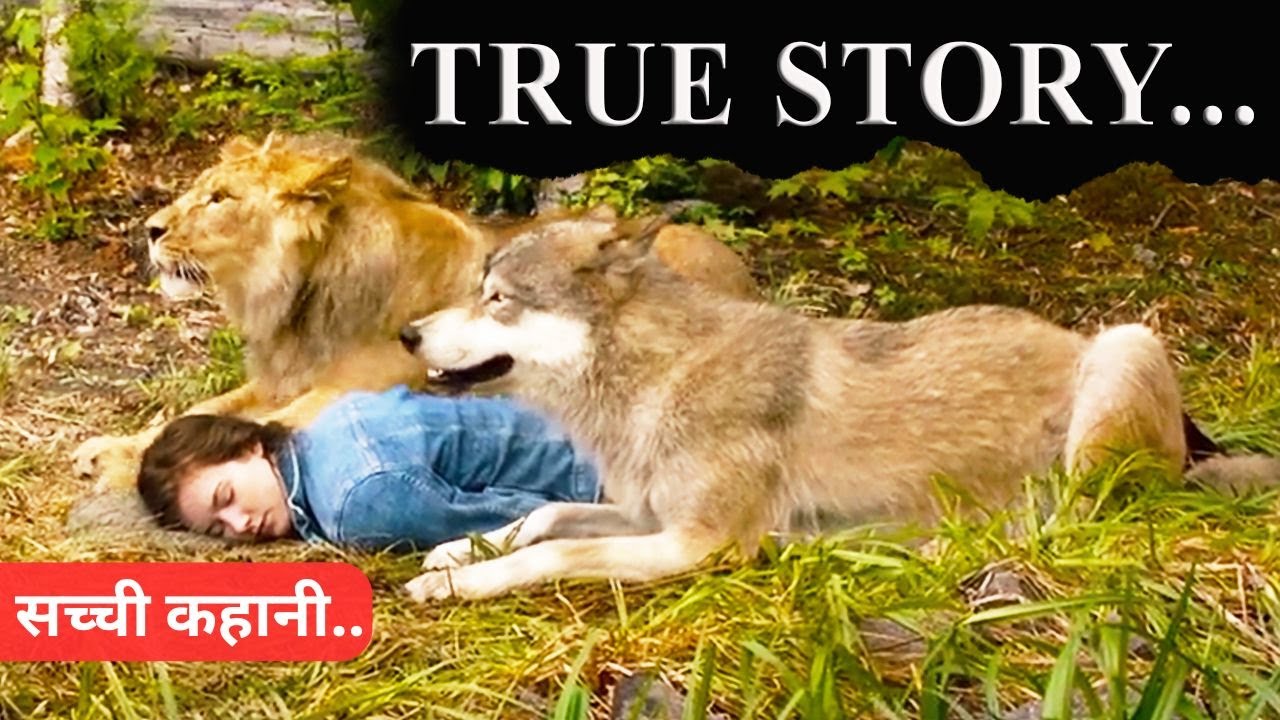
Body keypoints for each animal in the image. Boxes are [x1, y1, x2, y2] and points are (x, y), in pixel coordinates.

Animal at [73, 131, 761, 492]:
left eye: (220, 198)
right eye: (199, 189)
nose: (150, 229)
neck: (298, 297)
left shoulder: (350, 389)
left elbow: (266, 424)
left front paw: (122, 465)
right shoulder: (277, 378)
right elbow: (199, 411)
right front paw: (111, 446)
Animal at [396, 216, 1280, 602]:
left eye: (497, 299)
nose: (407, 333)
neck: (657, 376)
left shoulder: (701, 544)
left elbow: (552, 552)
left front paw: (459, 583)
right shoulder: (650, 517)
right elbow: (545, 515)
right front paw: (457, 550)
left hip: (1123, 349)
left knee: (1082, 524)